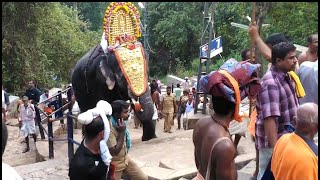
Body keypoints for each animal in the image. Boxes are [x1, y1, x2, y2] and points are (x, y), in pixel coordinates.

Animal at [71, 2, 156, 141]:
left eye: (147, 73)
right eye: (122, 77)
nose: (136, 104)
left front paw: (149, 138)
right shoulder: (100, 80)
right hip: (78, 88)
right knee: (86, 107)